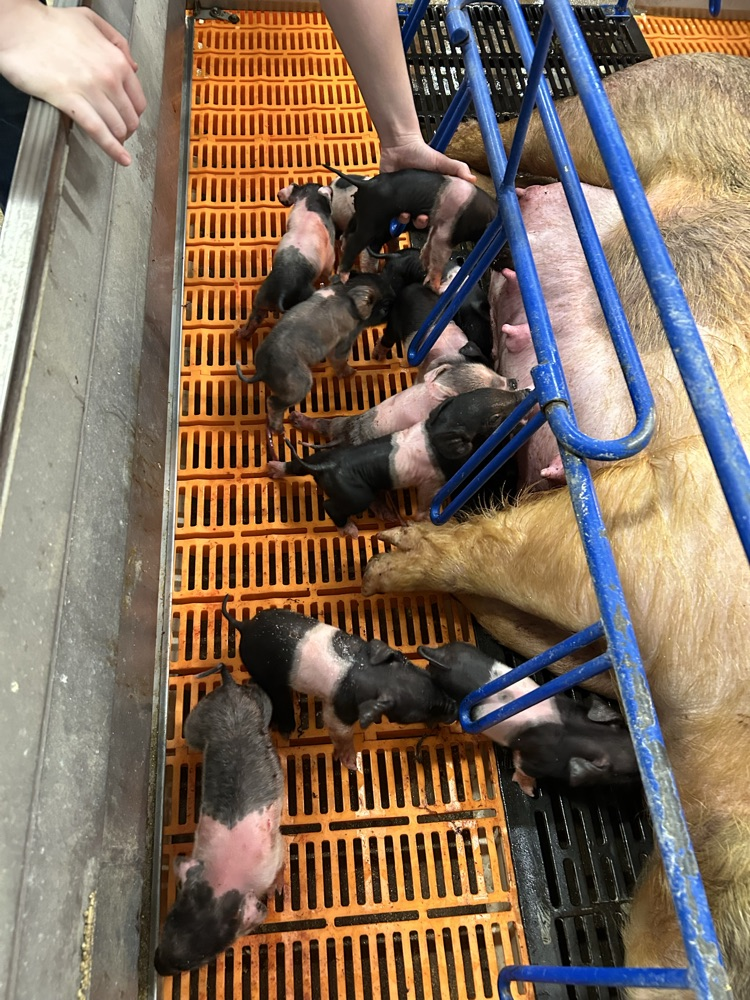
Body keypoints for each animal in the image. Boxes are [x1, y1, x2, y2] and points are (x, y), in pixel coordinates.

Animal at [154, 664, 284, 976]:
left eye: (202, 959)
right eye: (168, 923)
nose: (158, 966)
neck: (224, 876)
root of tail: (229, 689)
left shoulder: (276, 854)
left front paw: (279, 889)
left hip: (259, 705)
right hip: (199, 721)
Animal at [220, 595, 457, 769]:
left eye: (427, 676)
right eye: (415, 715)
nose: (454, 708)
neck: (370, 675)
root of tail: (243, 626)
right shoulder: (338, 709)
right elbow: (340, 731)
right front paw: (351, 765)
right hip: (266, 674)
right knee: (277, 696)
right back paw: (287, 730)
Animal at [235, 182, 335, 341]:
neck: (309, 203)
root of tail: (281, 292)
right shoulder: (329, 258)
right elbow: (327, 275)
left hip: (260, 302)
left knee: (252, 323)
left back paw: (239, 334)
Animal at [268, 386, 528, 536]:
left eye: (479, 392)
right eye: (495, 418)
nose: (524, 393)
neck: (437, 432)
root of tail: (324, 465)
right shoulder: (431, 481)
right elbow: (425, 504)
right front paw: (421, 520)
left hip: (316, 457)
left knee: (294, 465)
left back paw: (273, 469)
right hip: (356, 494)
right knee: (330, 506)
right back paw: (351, 530)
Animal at [326, 165, 497, 290]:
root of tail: (367, 184)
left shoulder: (436, 227)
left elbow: (429, 245)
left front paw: (423, 261)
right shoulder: (447, 232)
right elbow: (439, 256)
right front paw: (435, 286)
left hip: (362, 211)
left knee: (349, 230)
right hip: (372, 219)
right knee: (355, 242)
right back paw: (344, 277)